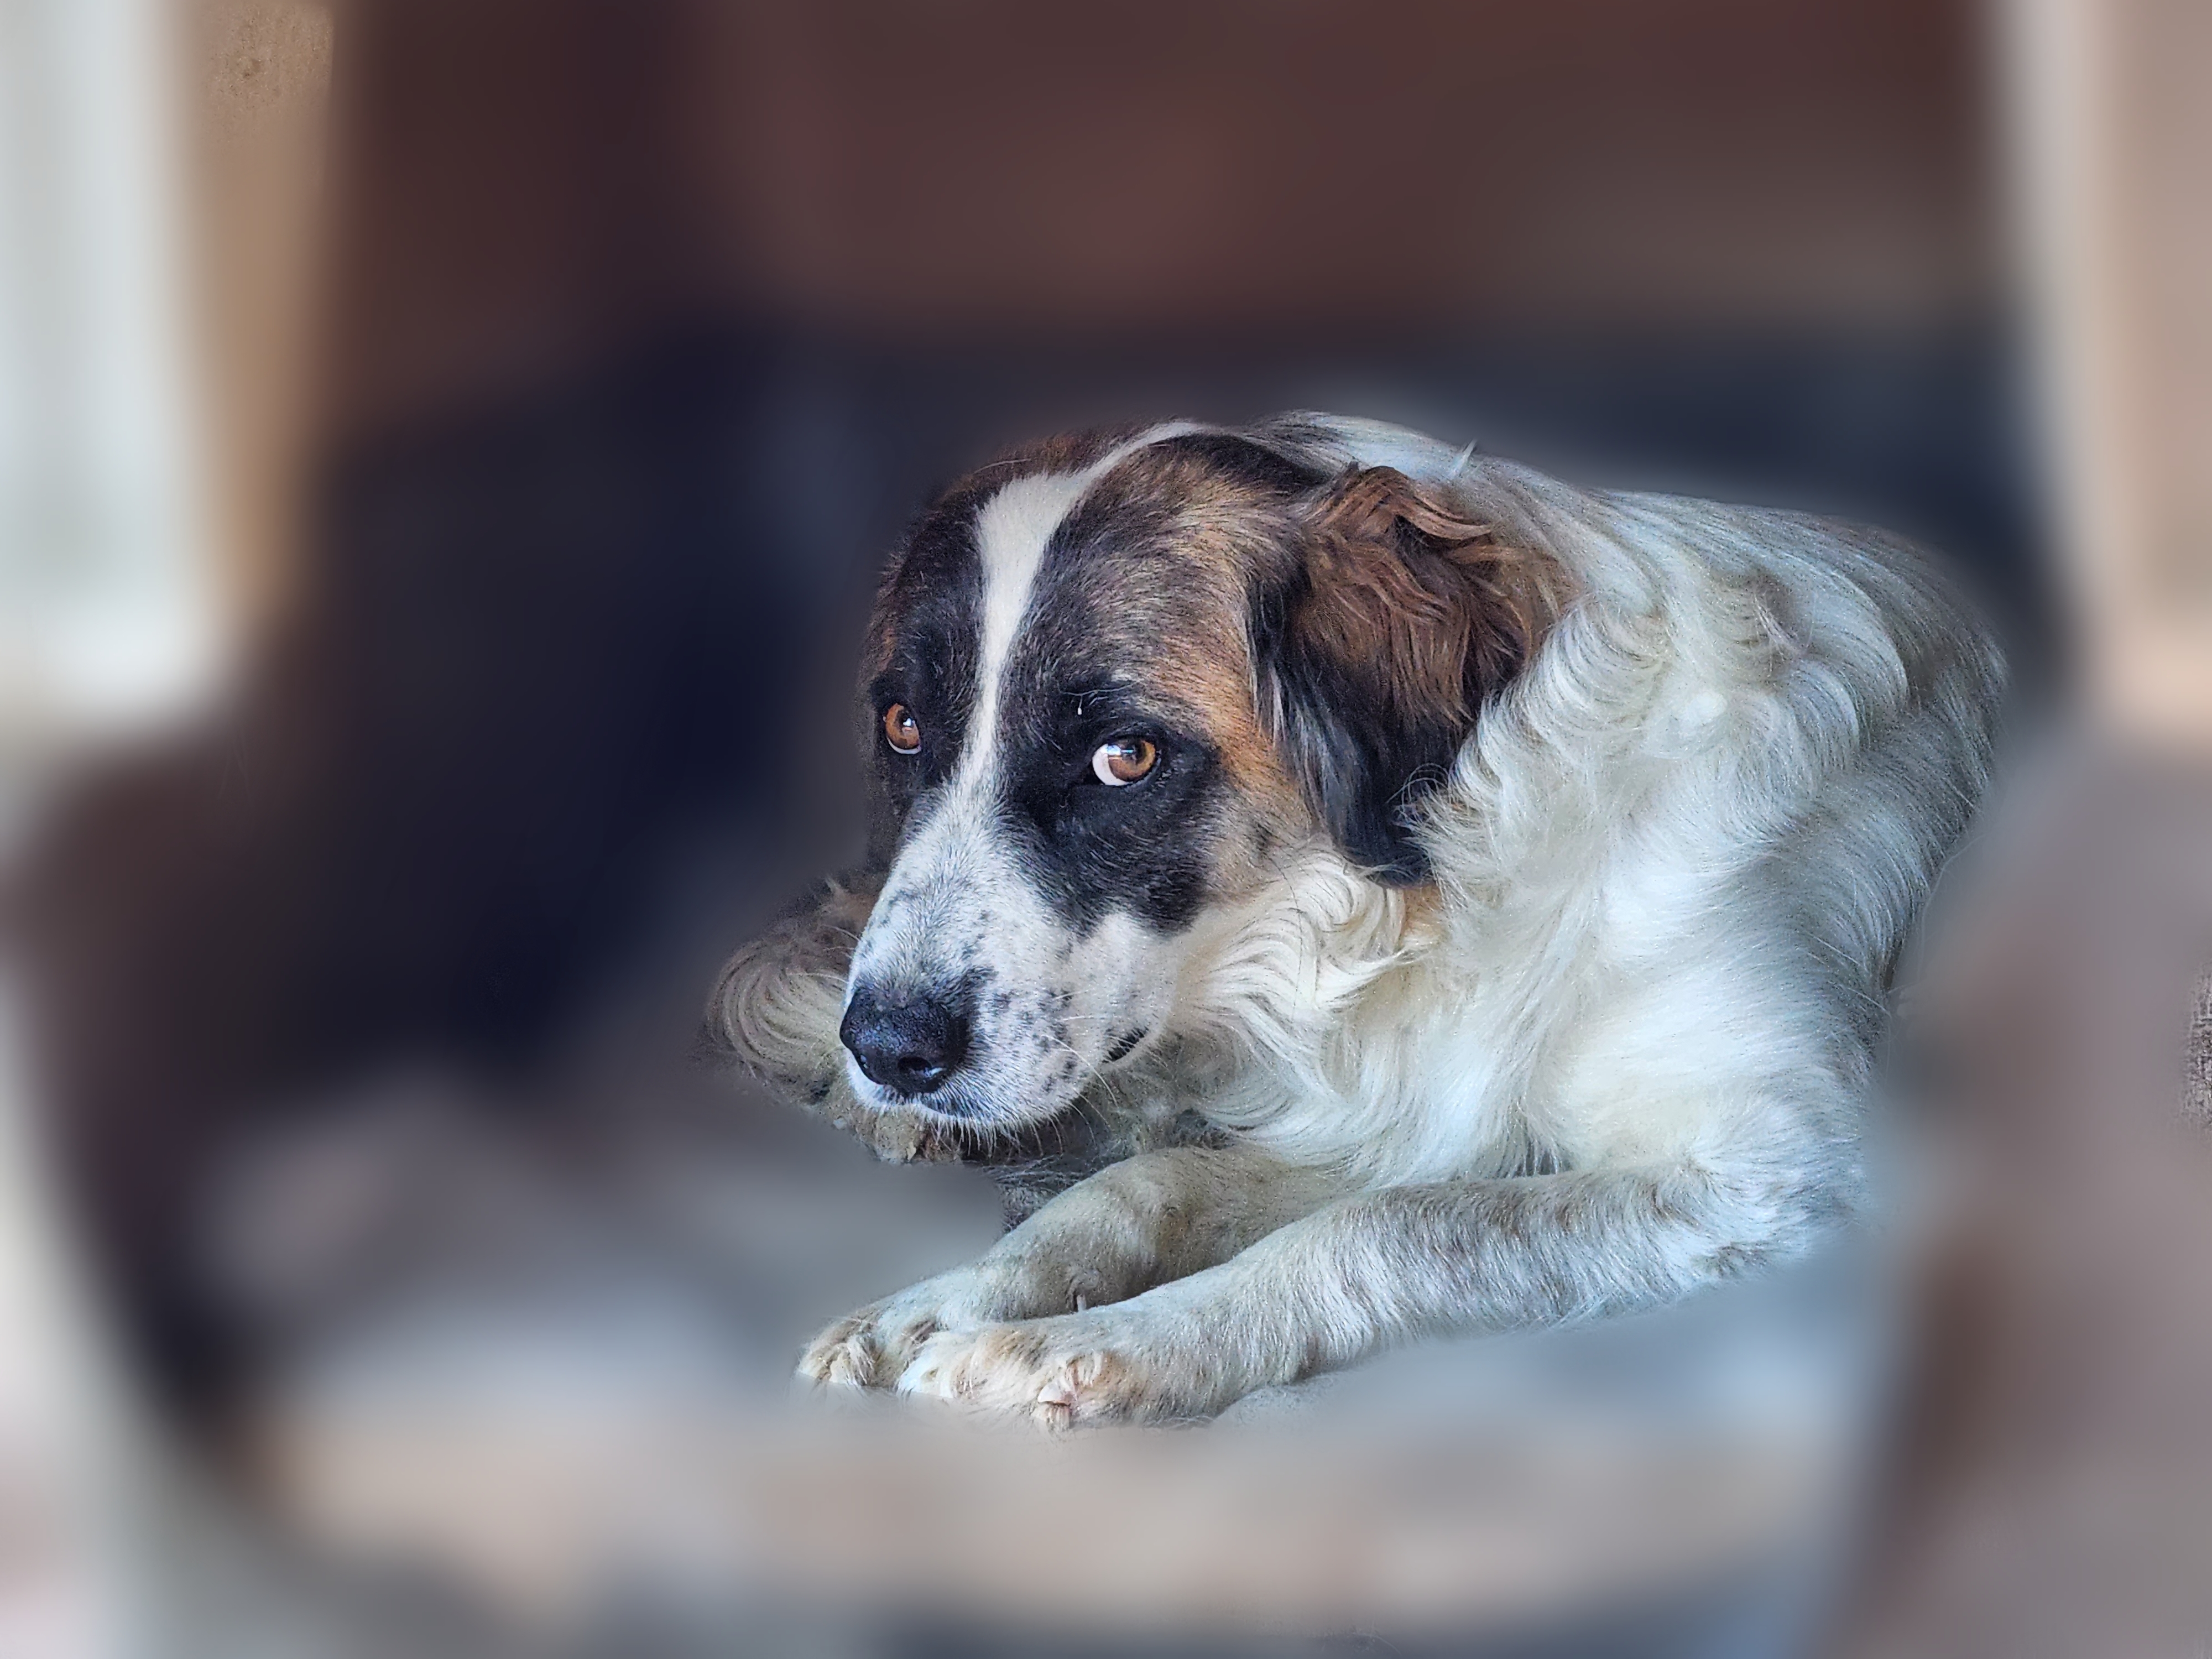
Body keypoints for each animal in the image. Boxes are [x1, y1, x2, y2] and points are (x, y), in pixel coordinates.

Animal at [712, 414, 2008, 1433]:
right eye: (902, 729)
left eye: (1123, 756)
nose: (884, 1049)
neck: (1449, 886)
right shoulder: (1397, 1109)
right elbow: (1145, 1188)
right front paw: (946, 1299)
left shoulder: (1784, 1168)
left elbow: (1383, 1229)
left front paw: (1122, 1343)